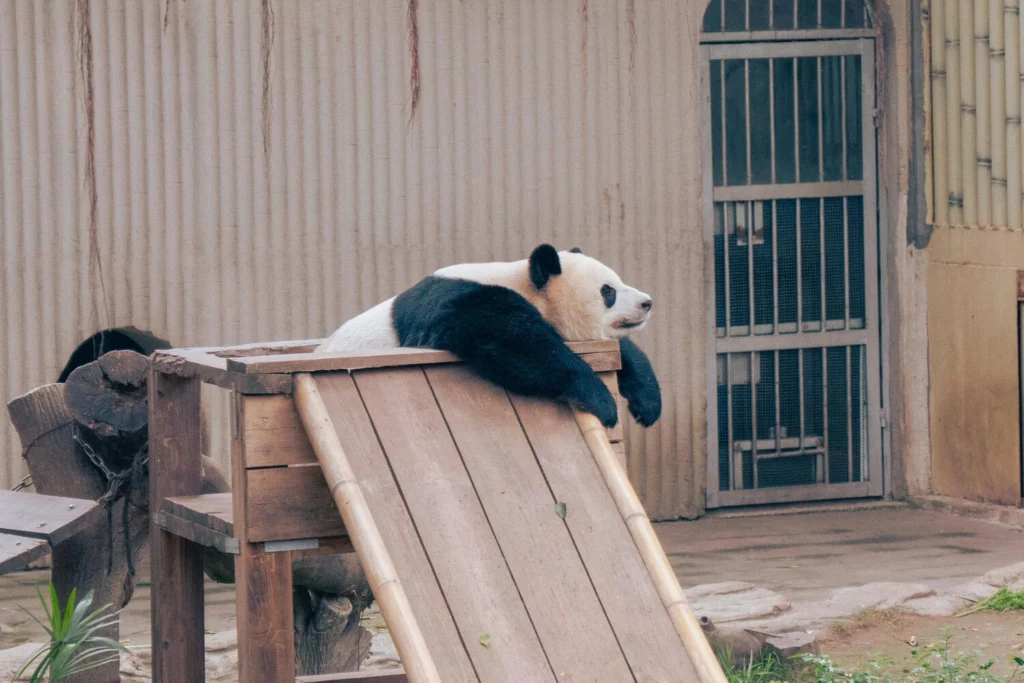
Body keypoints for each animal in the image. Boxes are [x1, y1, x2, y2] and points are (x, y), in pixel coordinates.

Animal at [317, 244, 661, 429]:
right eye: (608, 291)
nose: (647, 302)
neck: (523, 281)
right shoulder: (468, 304)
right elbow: (519, 346)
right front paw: (602, 401)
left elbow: (623, 349)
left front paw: (647, 405)